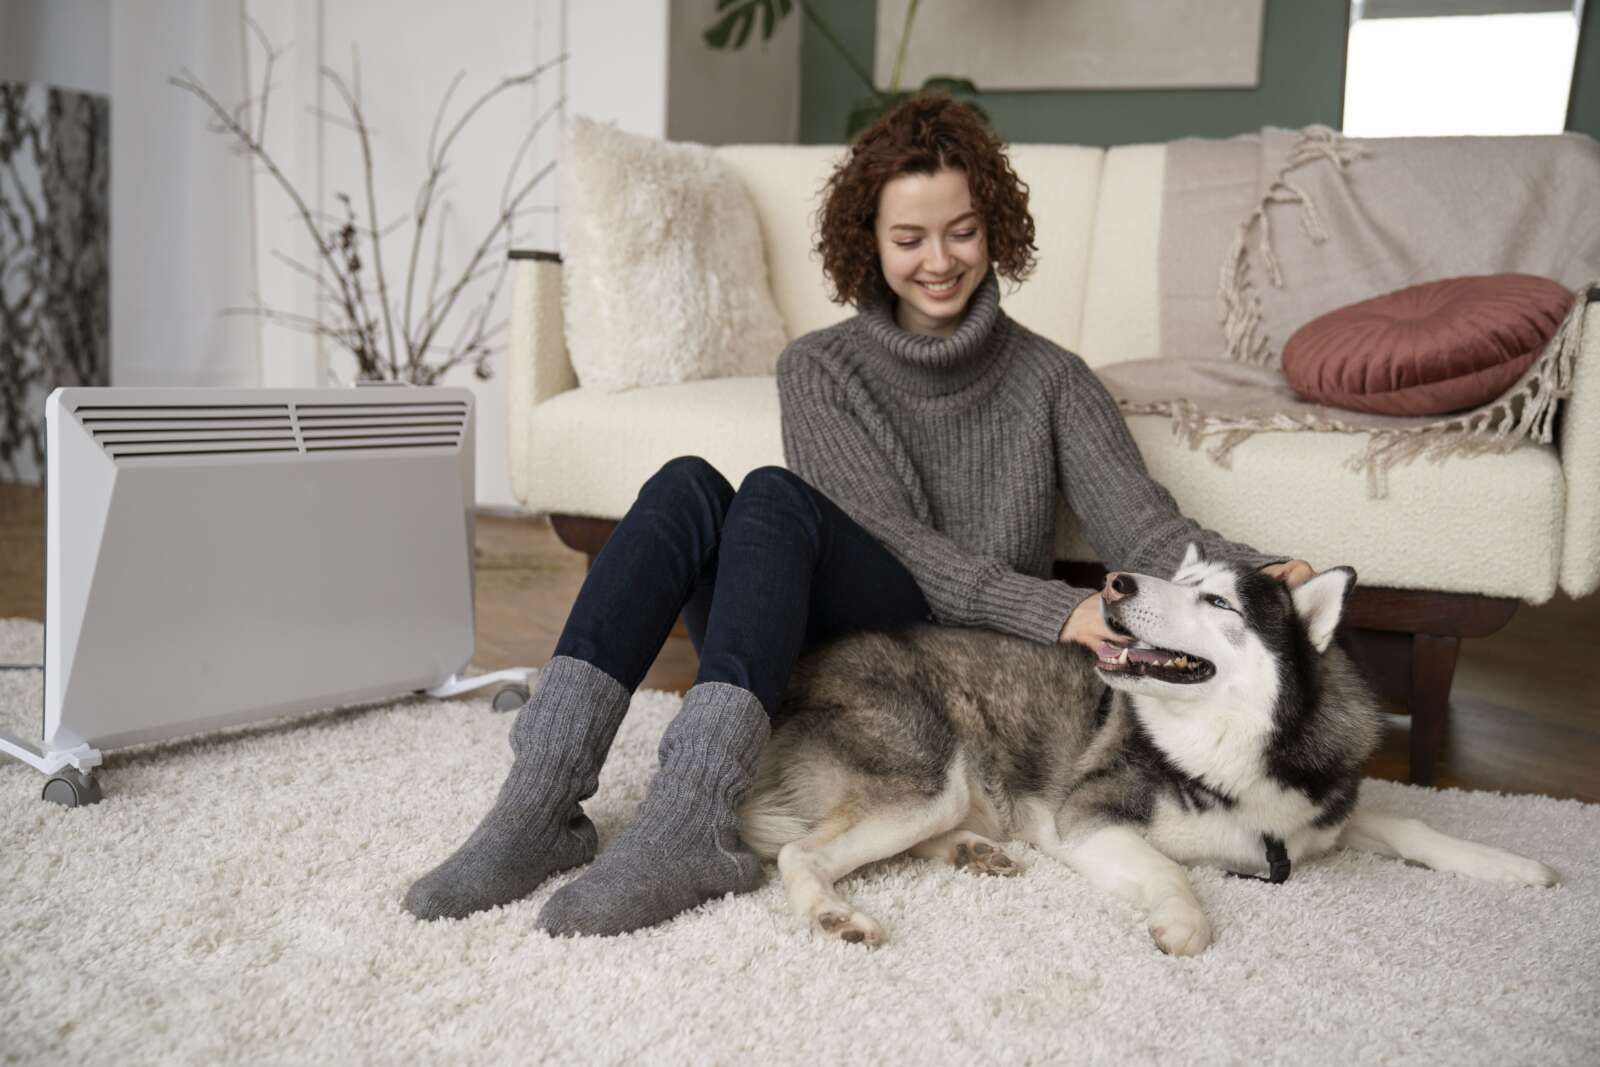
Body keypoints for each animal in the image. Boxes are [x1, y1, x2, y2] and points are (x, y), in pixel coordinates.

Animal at [742, 547, 1555, 953]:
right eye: (1179, 580)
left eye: (1217, 600)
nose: (1115, 583)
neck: (1228, 751)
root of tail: (788, 679)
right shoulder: (1088, 819)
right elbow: (1170, 869)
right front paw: (1187, 921)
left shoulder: (1320, 814)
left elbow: (1414, 824)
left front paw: (1510, 864)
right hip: (930, 775)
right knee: (801, 853)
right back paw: (836, 915)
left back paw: (973, 851)